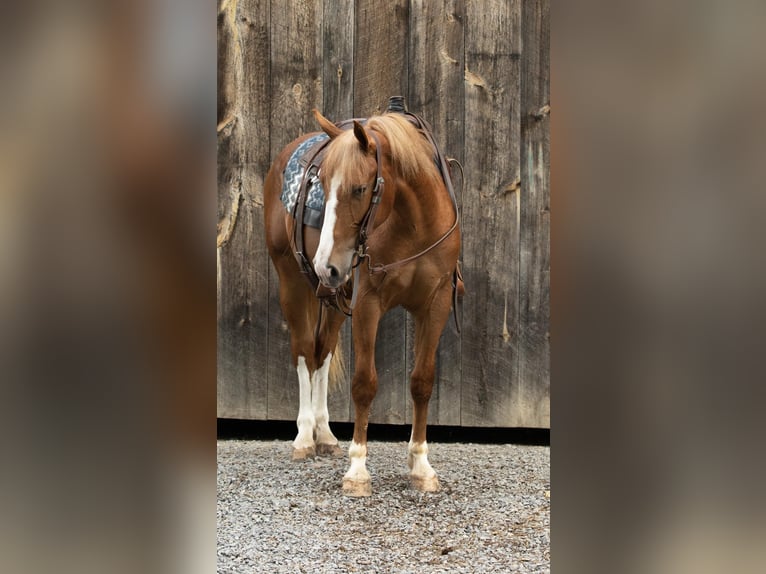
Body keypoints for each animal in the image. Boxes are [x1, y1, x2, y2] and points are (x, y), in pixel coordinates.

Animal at [264, 101, 462, 498]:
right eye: (322, 185)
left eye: (359, 189)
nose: (325, 264)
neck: (414, 224)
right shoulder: (369, 302)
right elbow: (364, 384)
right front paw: (357, 471)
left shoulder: (434, 305)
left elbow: (422, 382)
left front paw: (421, 466)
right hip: (293, 281)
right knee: (304, 350)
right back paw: (304, 437)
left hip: (335, 292)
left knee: (322, 351)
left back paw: (325, 434)